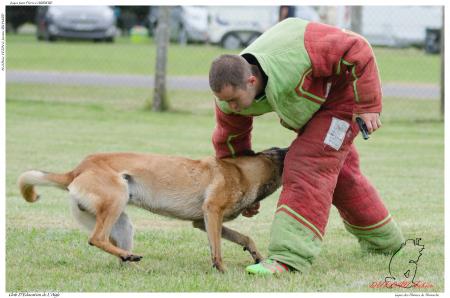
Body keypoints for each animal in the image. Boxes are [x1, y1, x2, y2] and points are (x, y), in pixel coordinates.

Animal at [18, 147, 288, 272]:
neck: (243, 171)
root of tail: (77, 170)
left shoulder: (203, 221)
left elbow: (245, 237)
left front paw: (257, 256)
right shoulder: (212, 212)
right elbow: (217, 251)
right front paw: (222, 270)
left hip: (122, 225)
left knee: (119, 257)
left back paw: (132, 262)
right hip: (116, 199)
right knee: (97, 238)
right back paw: (131, 258)